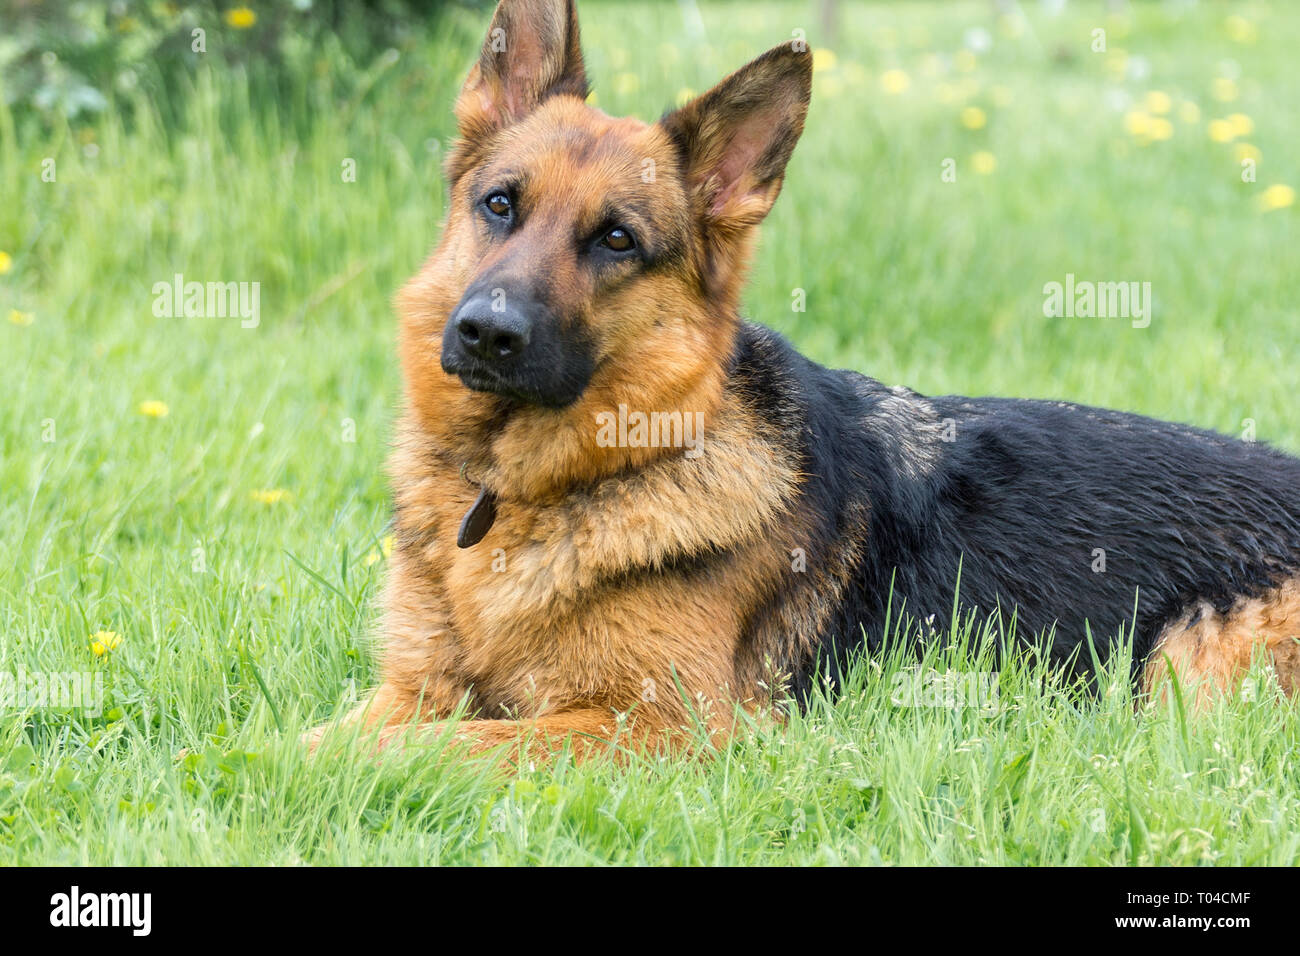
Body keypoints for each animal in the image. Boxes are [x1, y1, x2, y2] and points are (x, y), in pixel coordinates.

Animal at [306, 1, 1300, 764]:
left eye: (617, 240)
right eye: (500, 205)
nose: (485, 332)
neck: (536, 492)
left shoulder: (655, 725)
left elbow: (428, 747)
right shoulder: (409, 687)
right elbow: (322, 733)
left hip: (1182, 679)